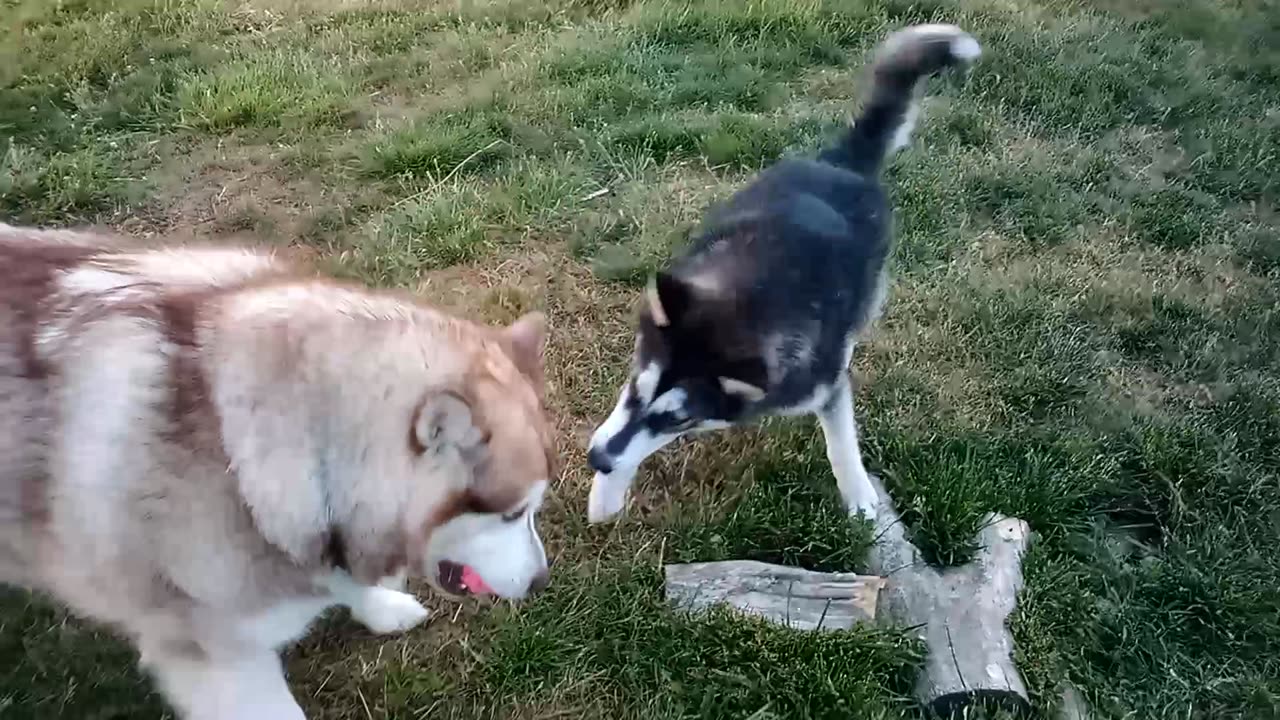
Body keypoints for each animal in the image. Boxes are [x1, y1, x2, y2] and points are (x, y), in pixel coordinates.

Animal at [586, 23, 977, 520]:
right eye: (636, 390)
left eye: (678, 419)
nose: (595, 459)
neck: (751, 291)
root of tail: (840, 162)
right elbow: (623, 435)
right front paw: (606, 492)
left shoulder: (823, 387)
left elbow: (841, 442)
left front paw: (861, 500)